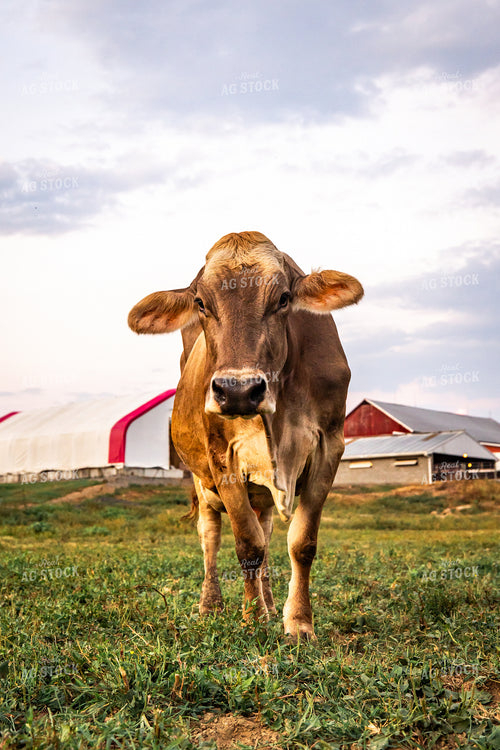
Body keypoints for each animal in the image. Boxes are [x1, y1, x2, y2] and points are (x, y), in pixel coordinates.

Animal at [128, 231, 363, 640]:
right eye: (200, 303)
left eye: (283, 298)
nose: (238, 391)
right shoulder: (222, 457)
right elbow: (247, 544)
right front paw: (251, 617)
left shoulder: (329, 445)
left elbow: (301, 543)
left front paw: (297, 621)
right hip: (201, 481)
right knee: (211, 537)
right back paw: (212, 605)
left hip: (262, 494)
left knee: (266, 534)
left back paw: (268, 603)